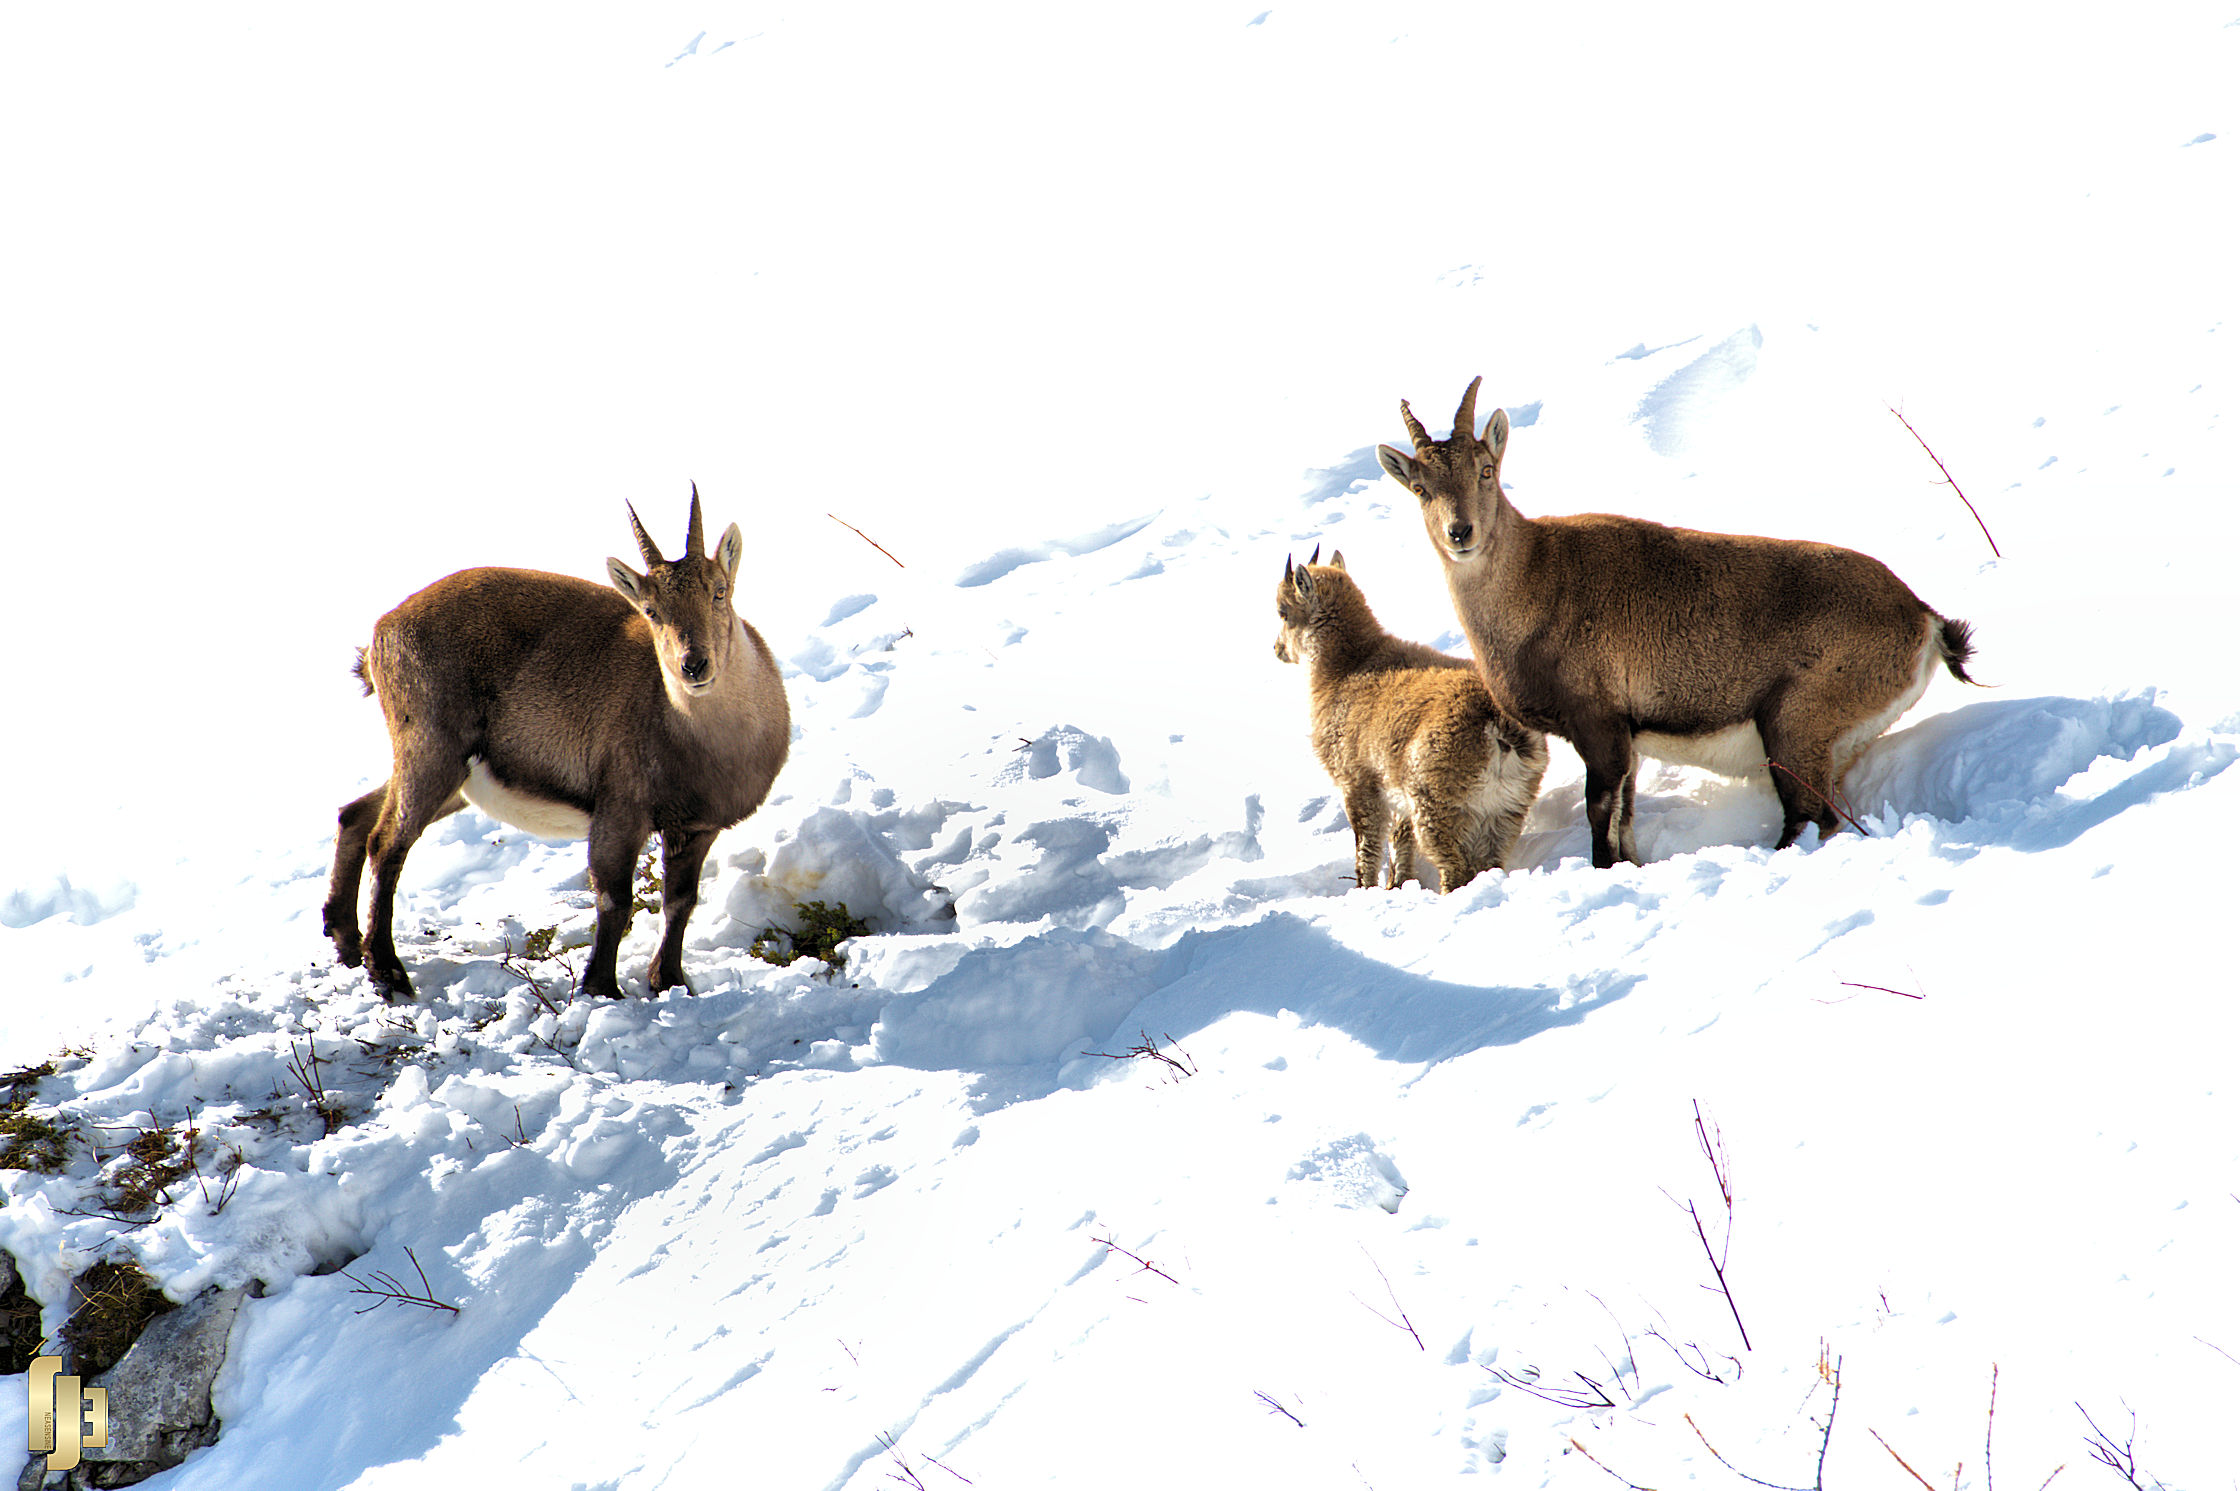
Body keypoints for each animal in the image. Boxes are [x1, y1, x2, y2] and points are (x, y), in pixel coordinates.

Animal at [320, 490, 792, 998]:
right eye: (651, 610)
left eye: (719, 591)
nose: (693, 664)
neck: (707, 743)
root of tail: (381, 633)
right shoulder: (620, 808)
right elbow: (614, 900)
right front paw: (600, 988)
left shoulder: (698, 826)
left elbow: (681, 902)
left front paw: (669, 980)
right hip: (429, 746)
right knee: (387, 842)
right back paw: (386, 968)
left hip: (453, 774)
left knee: (355, 814)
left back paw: (346, 941)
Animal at [1272, 548, 1550, 886]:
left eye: (1283, 612)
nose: (1277, 649)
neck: (1345, 668)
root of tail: (1496, 721)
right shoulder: (1396, 795)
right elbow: (1400, 842)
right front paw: (1398, 885)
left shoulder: (1357, 783)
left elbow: (1366, 847)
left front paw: (1366, 888)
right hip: (1506, 807)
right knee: (1490, 862)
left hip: (1435, 802)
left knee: (1455, 868)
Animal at [1361, 378, 1980, 864]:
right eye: (1420, 489)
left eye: (1486, 470)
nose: (1460, 533)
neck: (1535, 581)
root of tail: (1924, 621)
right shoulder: (1629, 736)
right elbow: (1627, 818)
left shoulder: (1599, 723)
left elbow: (1602, 818)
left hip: (1794, 722)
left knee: (1812, 817)